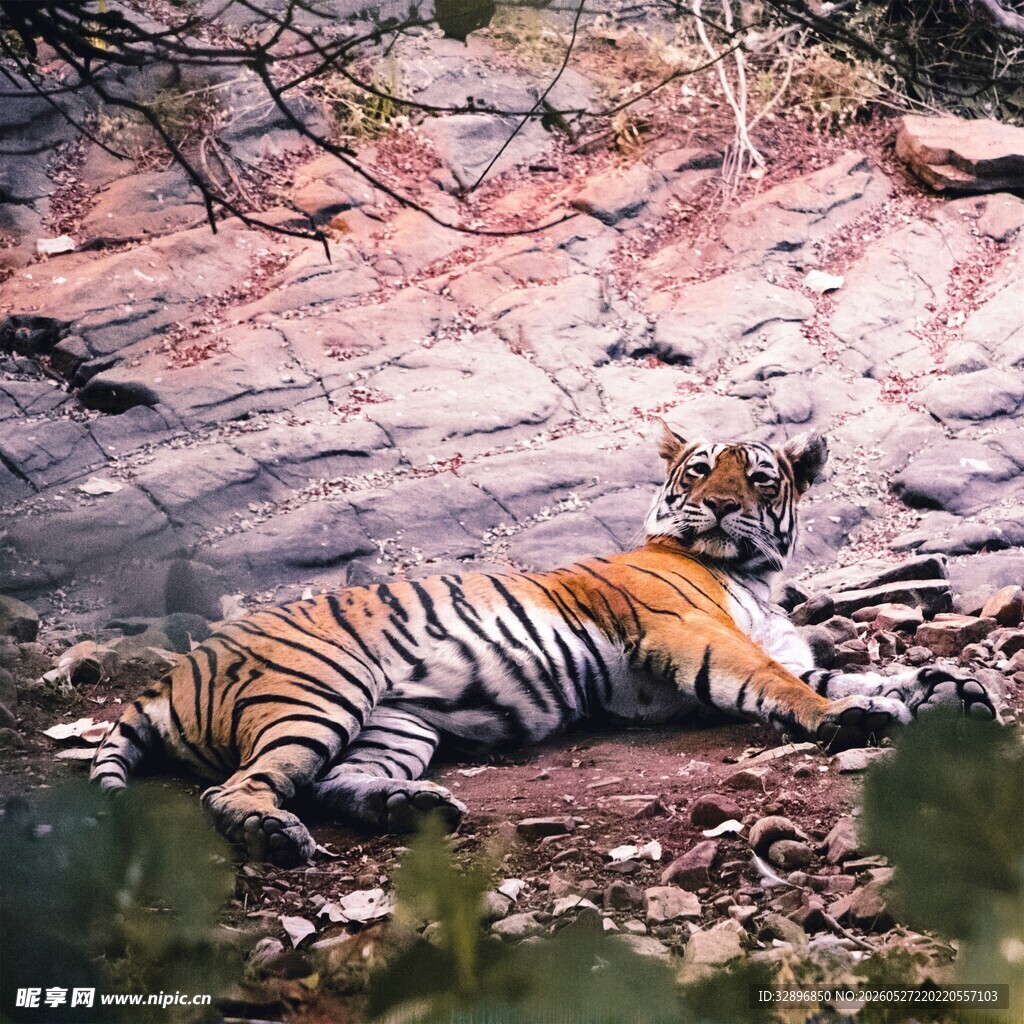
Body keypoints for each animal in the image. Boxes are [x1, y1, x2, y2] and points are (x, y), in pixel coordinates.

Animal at [90, 422, 999, 866]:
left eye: (759, 476)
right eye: (699, 471)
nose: (720, 506)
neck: (754, 574)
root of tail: (173, 673)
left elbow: (856, 672)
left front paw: (950, 689)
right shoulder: (689, 633)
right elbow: (784, 684)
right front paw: (853, 721)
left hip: (393, 726)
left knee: (331, 784)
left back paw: (410, 808)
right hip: (319, 692)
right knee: (238, 790)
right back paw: (275, 839)